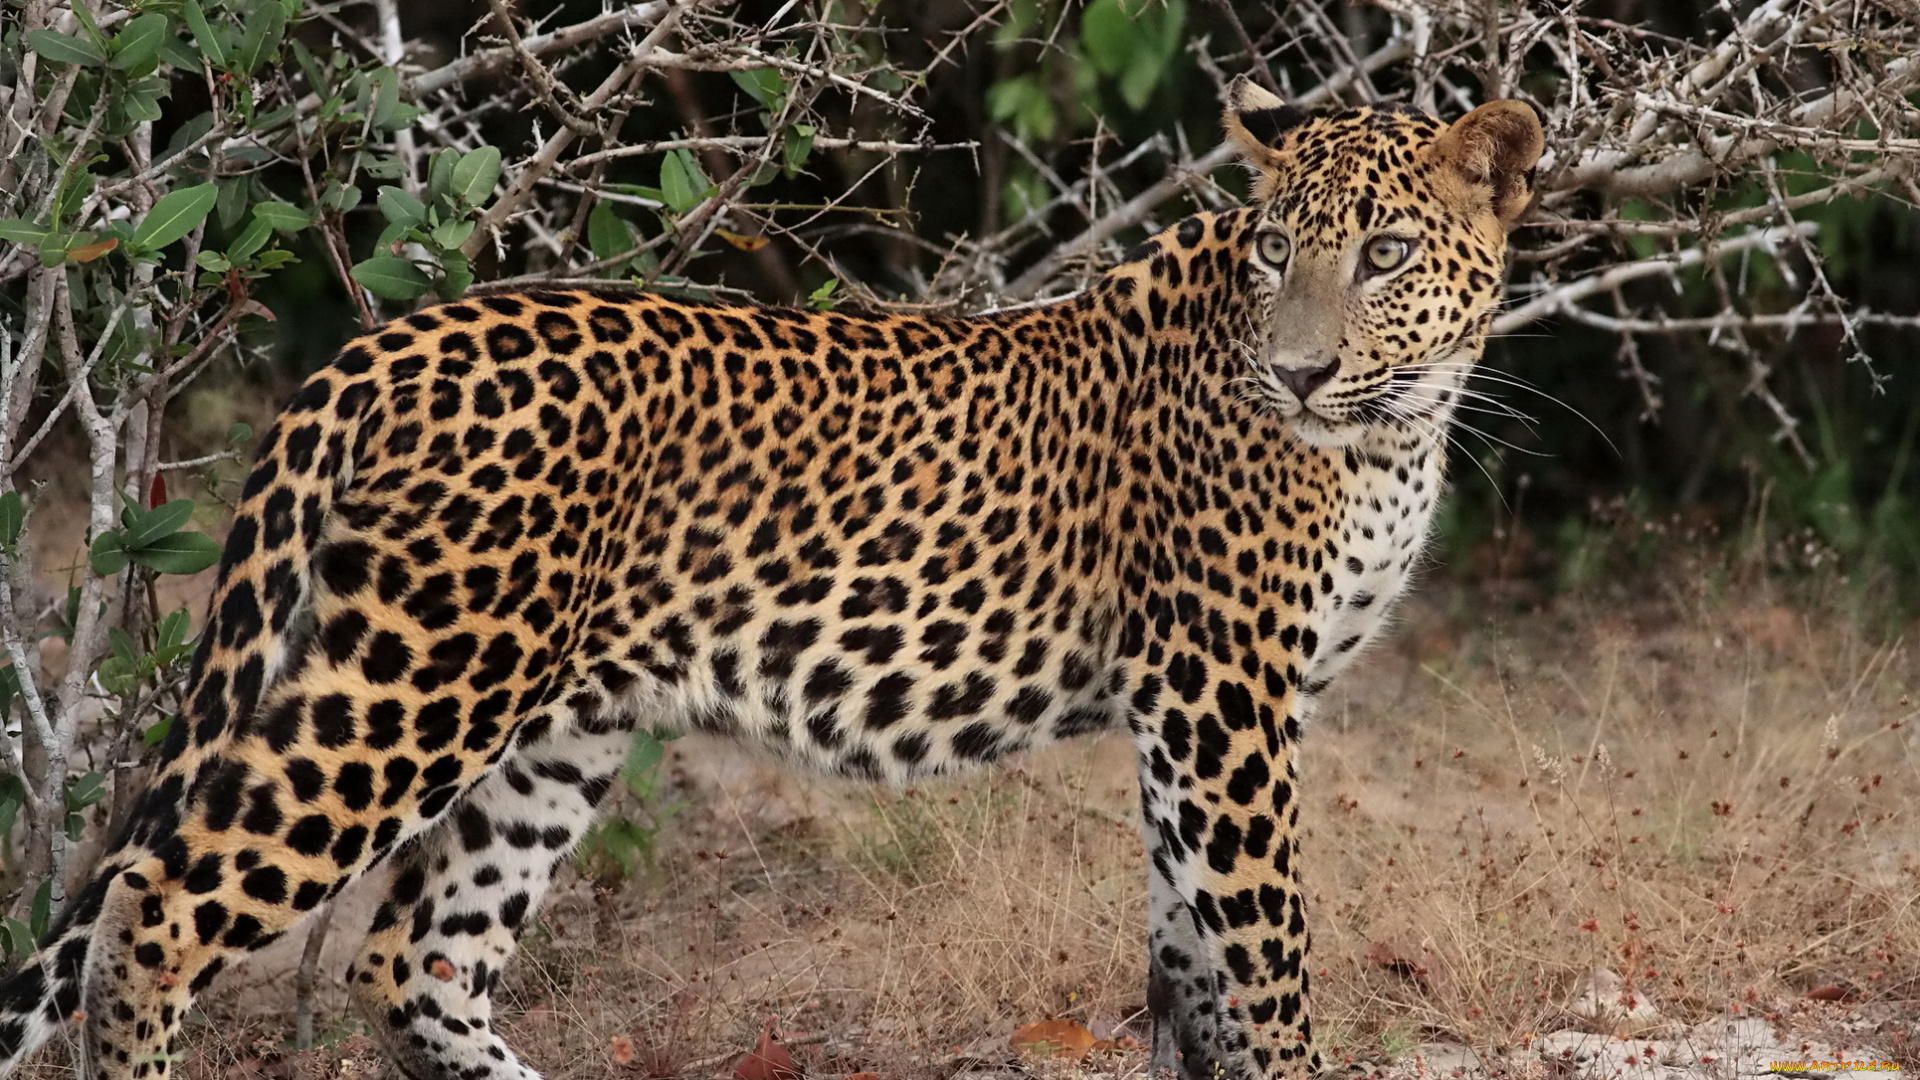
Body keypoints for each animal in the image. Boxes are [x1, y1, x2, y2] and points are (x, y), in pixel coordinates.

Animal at [0, 76, 1542, 1080]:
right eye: (1281, 247)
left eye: (1386, 252)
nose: (1299, 371)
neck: (1393, 429)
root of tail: (394, 340)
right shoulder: (1222, 694)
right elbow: (1266, 955)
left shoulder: (1204, 714)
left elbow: (1193, 964)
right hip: (420, 684)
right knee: (156, 914)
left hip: (559, 725)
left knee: (416, 962)